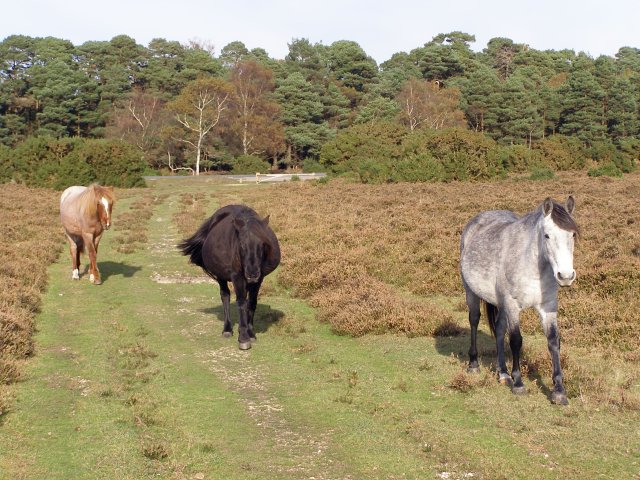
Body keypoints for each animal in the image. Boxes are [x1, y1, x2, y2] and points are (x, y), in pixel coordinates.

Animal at [179, 204, 282, 350]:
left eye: (263, 244)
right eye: (242, 245)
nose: (252, 273)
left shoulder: (259, 278)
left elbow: (251, 303)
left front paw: (250, 333)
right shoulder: (237, 277)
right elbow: (241, 303)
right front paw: (243, 337)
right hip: (221, 276)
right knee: (225, 296)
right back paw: (227, 329)